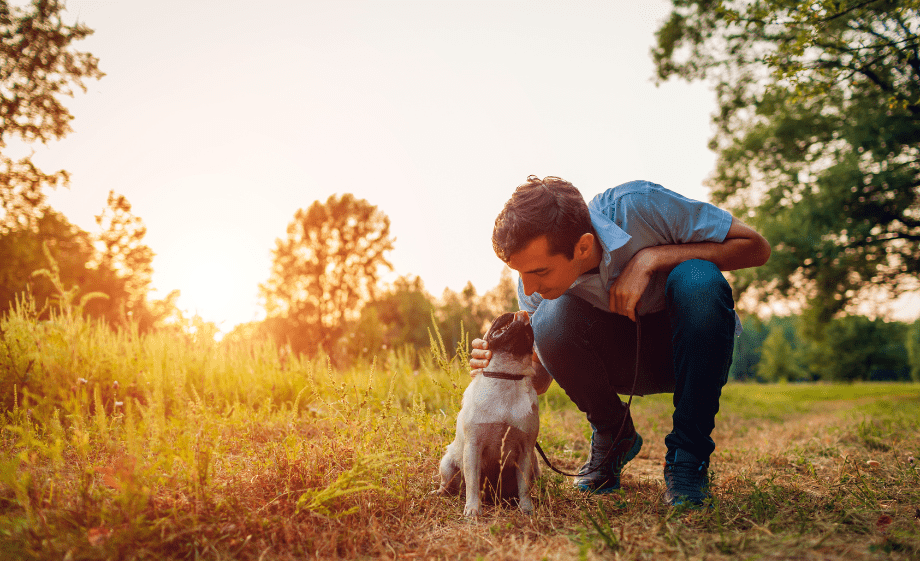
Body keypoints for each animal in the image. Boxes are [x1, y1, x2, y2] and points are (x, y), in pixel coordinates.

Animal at [434, 310, 540, 516]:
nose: (517, 311)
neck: (507, 375)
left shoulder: (526, 451)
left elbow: (524, 486)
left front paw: (526, 508)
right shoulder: (473, 447)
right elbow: (473, 483)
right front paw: (473, 509)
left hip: (535, 463)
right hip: (447, 464)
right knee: (448, 484)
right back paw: (439, 492)